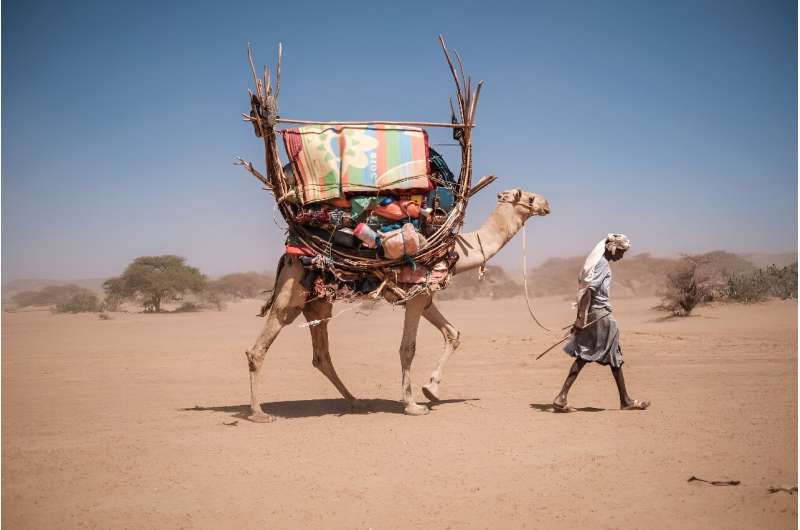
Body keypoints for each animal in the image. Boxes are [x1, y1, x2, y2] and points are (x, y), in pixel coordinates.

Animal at [245, 187, 552, 420]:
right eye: (528, 197)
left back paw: (355, 401)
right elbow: (408, 348)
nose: (547, 204)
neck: (455, 251)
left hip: (318, 303)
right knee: (258, 348)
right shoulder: (416, 298)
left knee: (321, 355)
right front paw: (413, 404)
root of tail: (287, 256)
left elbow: (453, 333)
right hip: (292, 295)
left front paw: (431, 389)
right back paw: (259, 413)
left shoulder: (424, 297)